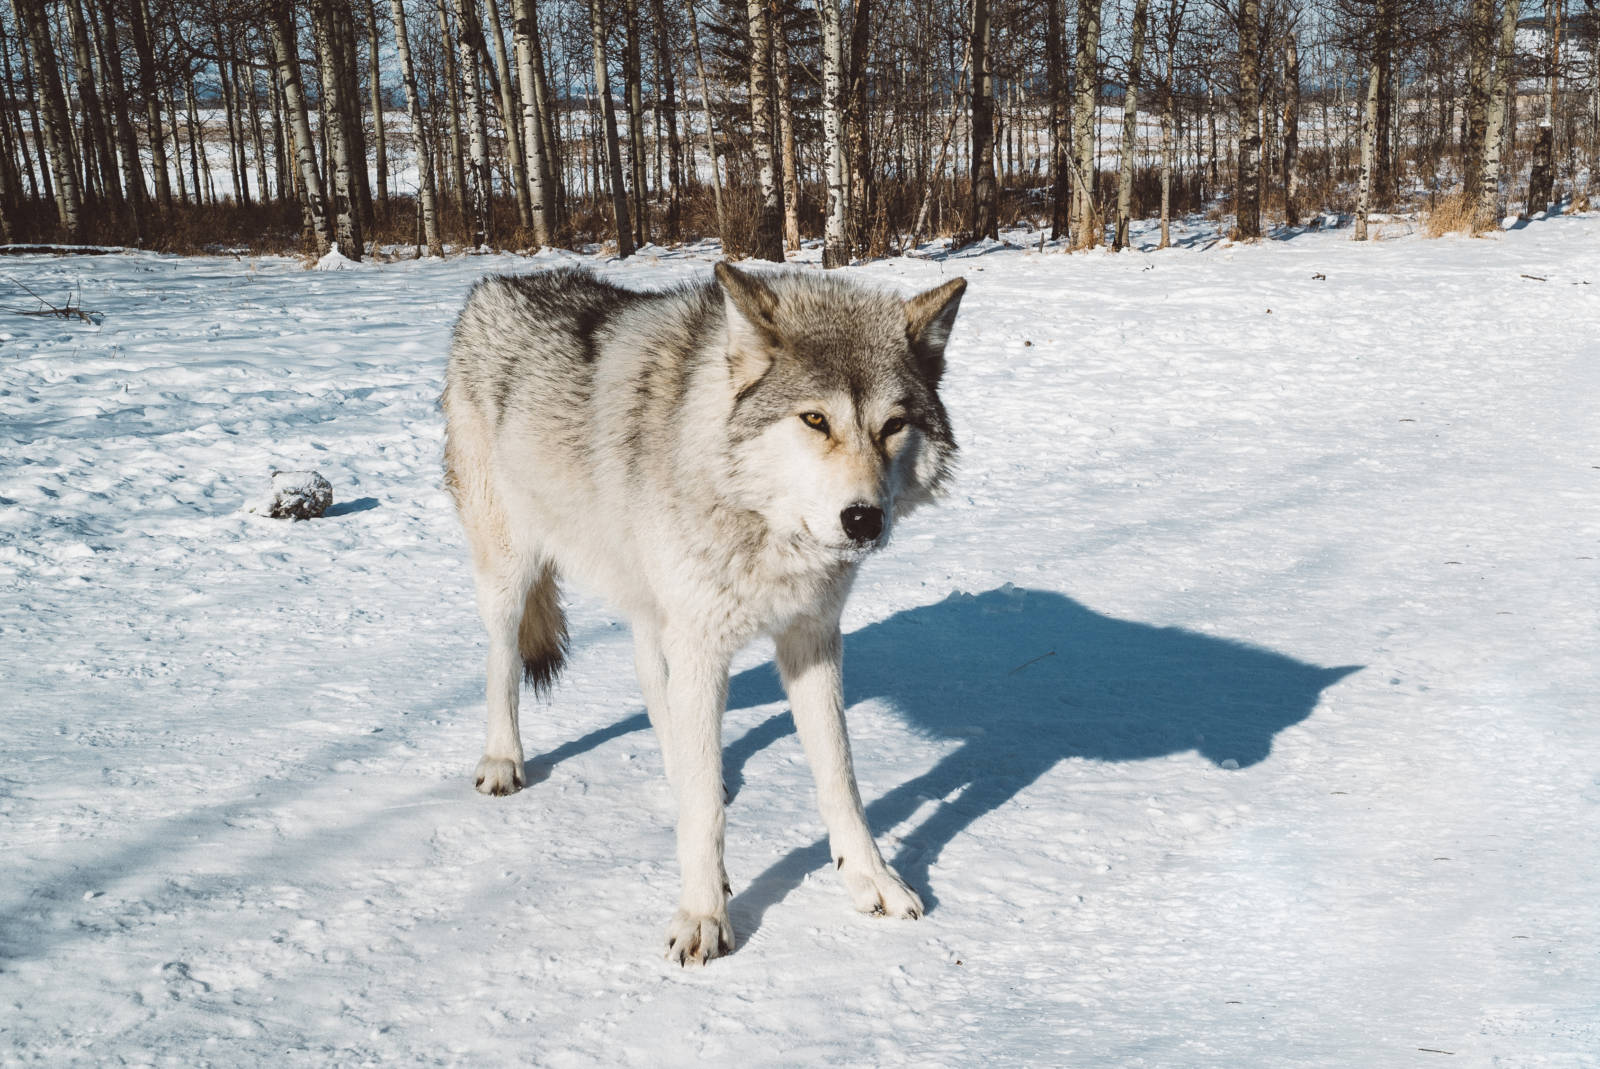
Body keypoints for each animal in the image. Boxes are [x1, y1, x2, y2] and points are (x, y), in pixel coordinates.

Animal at [438, 260, 960, 966]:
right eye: (815, 419)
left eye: (893, 426)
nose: (863, 520)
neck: (762, 524)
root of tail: (496, 283)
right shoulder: (703, 642)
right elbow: (707, 818)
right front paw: (704, 916)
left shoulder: (812, 640)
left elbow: (841, 781)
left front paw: (872, 881)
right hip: (510, 570)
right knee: (501, 658)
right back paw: (502, 761)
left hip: (652, 605)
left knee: (651, 683)